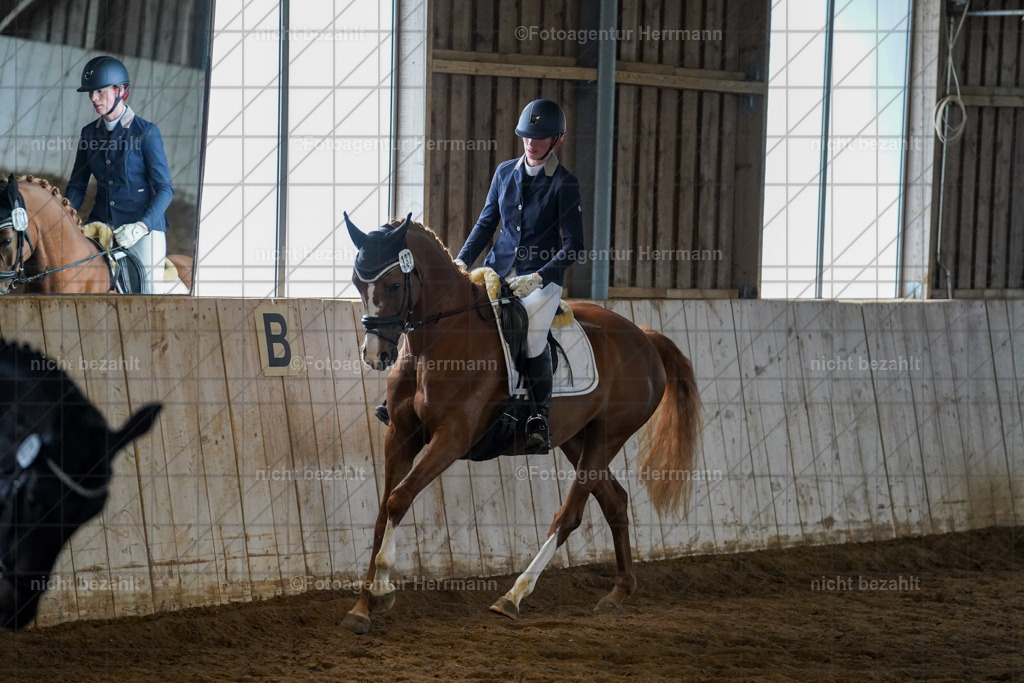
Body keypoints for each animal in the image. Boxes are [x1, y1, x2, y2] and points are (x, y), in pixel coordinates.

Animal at [341, 213, 703, 634]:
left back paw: (513, 596)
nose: (375, 355)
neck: (440, 342)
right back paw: (617, 594)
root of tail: (644, 337)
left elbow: (399, 499)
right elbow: (383, 511)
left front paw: (382, 589)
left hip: (608, 437)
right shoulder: (400, 435)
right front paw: (361, 608)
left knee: (569, 515)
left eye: (395, 284)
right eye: (357, 283)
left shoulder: (451, 438)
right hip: (575, 439)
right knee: (615, 501)